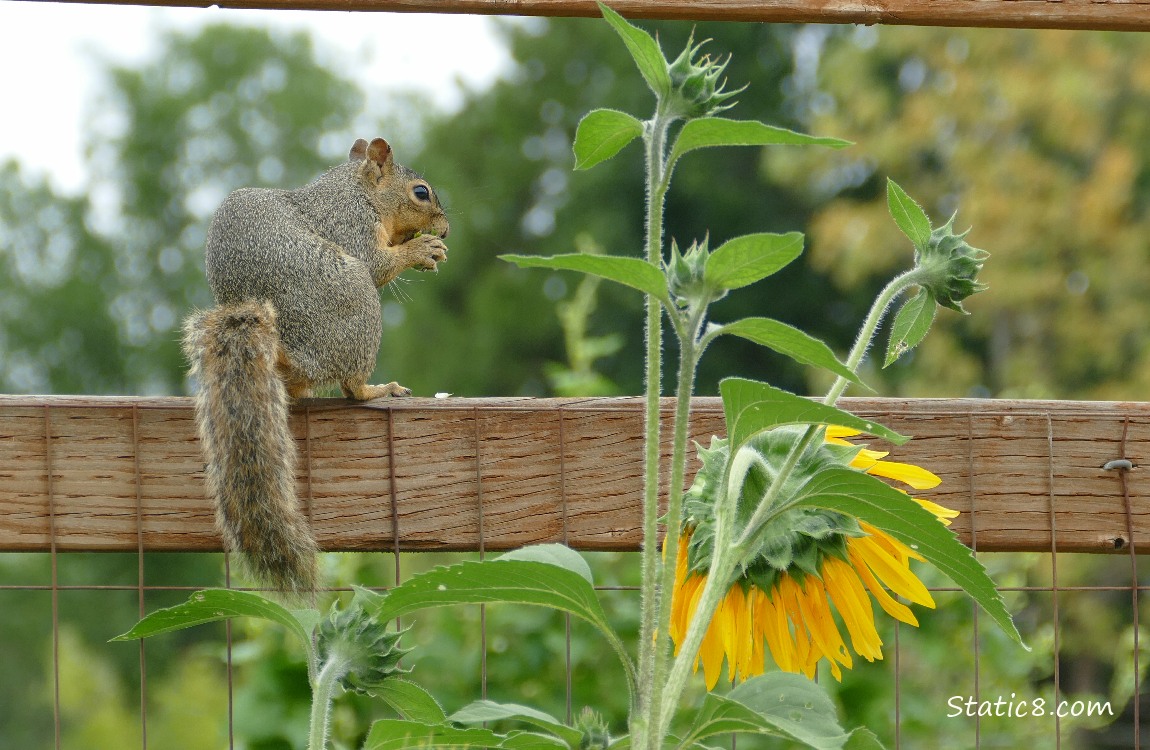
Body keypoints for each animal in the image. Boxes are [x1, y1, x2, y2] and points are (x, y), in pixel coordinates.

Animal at [181, 139, 446, 598]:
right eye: (421, 193)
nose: (445, 230)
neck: (357, 189)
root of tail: (291, 347)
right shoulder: (350, 224)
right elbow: (376, 264)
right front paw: (421, 250)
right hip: (355, 299)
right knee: (351, 385)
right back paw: (377, 389)